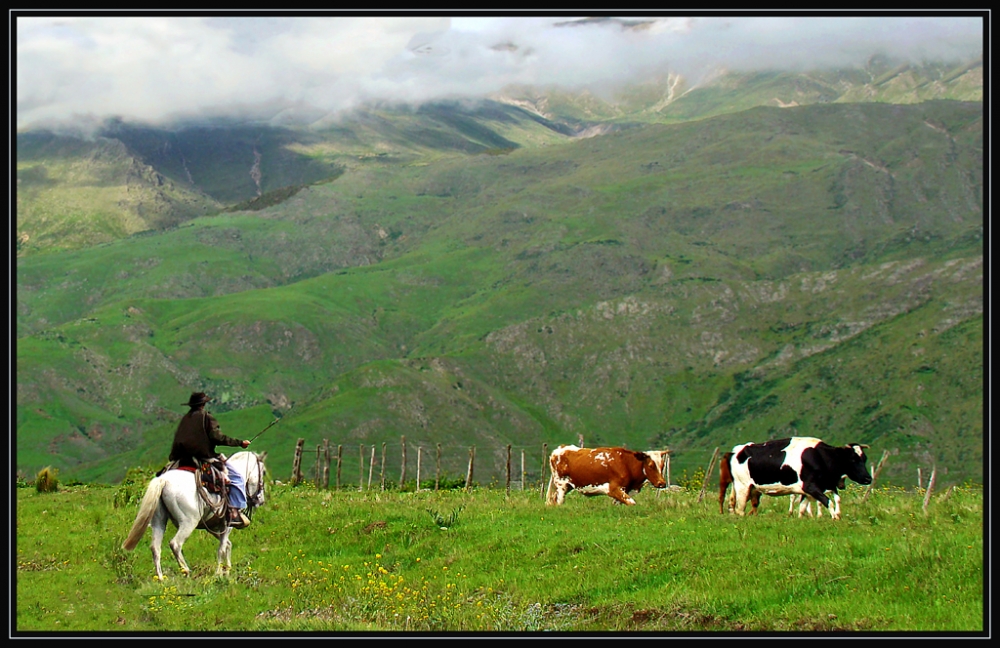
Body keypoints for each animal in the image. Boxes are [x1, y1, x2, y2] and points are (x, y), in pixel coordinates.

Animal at [122, 450, 266, 584]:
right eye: (263, 472)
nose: (261, 500)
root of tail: (164, 480)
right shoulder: (227, 525)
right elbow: (222, 548)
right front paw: (219, 574)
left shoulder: (213, 526)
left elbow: (227, 545)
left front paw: (227, 571)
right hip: (188, 523)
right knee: (175, 544)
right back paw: (185, 571)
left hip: (159, 521)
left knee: (155, 547)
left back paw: (161, 579)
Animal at [732, 436, 872, 520]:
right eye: (852, 459)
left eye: (865, 459)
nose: (868, 479)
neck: (820, 457)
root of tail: (739, 449)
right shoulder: (810, 486)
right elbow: (828, 501)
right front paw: (835, 518)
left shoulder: (816, 487)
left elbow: (803, 508)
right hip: (742, 486)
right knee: (740, 508)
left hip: (752, 488)